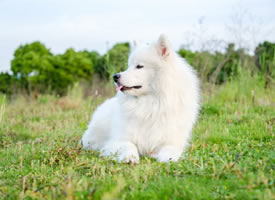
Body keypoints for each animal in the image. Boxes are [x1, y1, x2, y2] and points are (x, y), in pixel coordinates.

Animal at [81, 34, 201, 162]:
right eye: (128, 66)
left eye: (139, 66)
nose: (115, 76)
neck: (150, 105)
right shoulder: (119, 140)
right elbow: (129, 145)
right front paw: (129, 157)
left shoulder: (171, 142)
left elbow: (170, 150)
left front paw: (167, 159)